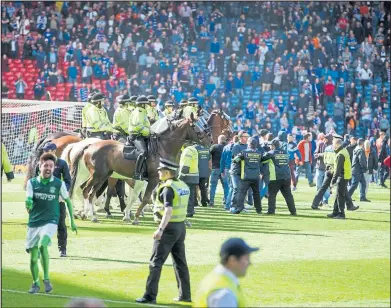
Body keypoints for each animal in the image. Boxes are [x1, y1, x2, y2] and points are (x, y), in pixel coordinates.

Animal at [70, 116, 211, 223]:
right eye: (194, 126)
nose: (209, 140)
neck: (163, 147)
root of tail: (89, 145)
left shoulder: (162, 178)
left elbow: (159, 196)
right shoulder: (153, 179)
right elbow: (146, 197)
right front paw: (137, 217)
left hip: (103, 177)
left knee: (90, 192)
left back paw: (88, 214)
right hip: (98, 176)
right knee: (86, 190)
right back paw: (90, 215)